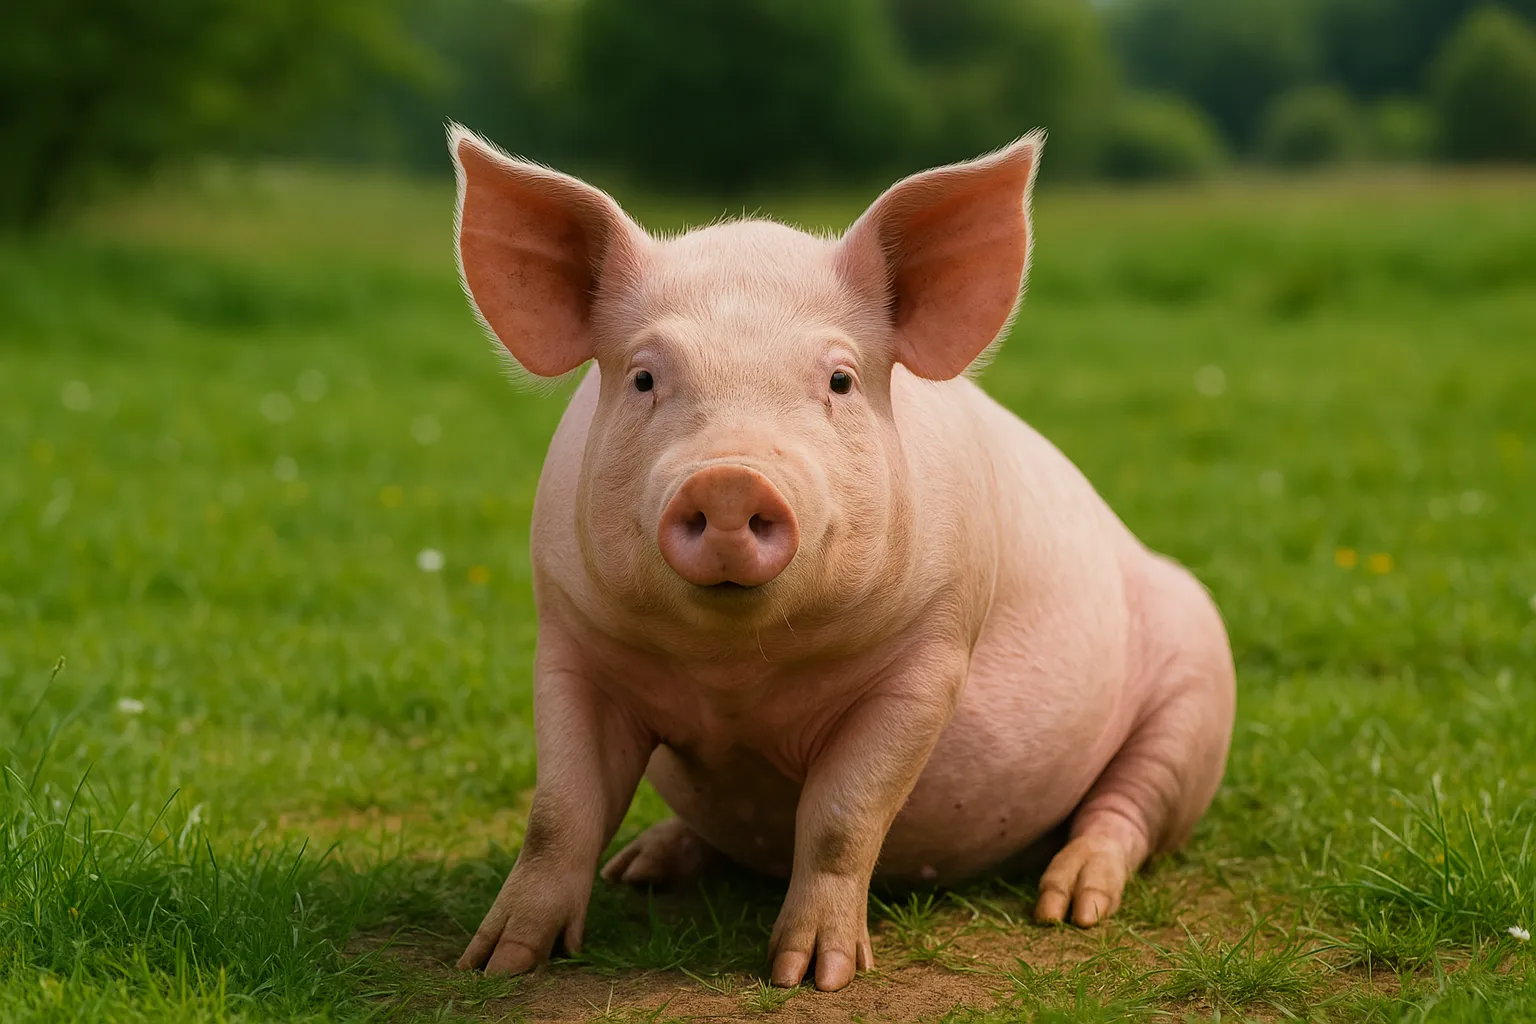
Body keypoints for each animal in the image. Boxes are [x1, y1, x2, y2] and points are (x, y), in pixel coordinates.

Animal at [447, 122, 1236, 993]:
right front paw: (495, 963)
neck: (733, 680)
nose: (730, 478)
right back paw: (641, 869)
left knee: (1127, 810)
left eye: (841, 380)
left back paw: (1070, 907)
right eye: (645, 377)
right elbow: (560, 812)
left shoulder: (931, 653)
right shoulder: (569, 639)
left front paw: (810, 975)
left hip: (1200, 691)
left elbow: (842, 814)